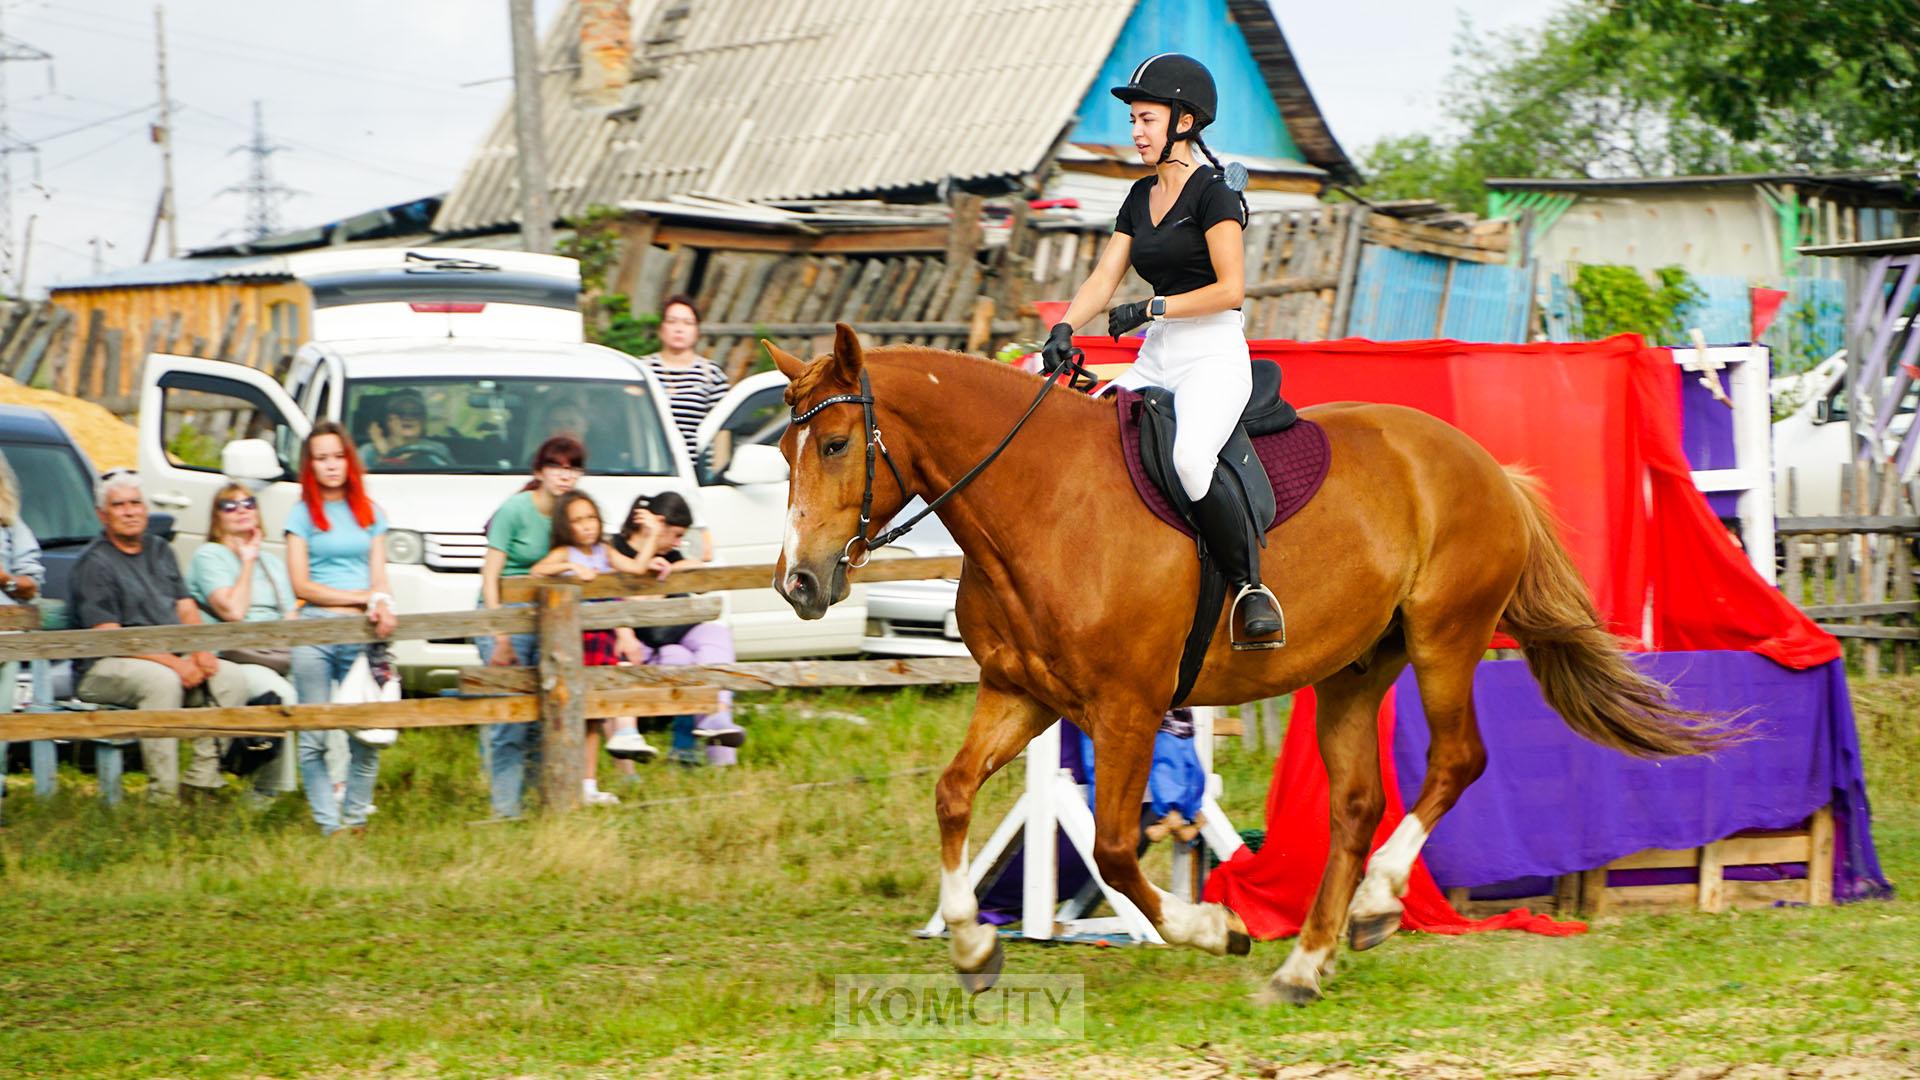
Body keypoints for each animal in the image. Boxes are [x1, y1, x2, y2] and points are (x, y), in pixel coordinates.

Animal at [764, 322, 1728, 999]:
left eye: (838, 445)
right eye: (782, 450)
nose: (800, 583)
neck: (1040, 504)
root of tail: (1485, 464)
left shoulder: (1127, 708)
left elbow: (1115, 849)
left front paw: (1212, 927)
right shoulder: (1019, 694)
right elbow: (953, 793)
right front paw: (971, 944)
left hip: (1444, 638)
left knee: (1456, 761)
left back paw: (1376, 904)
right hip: (1355, 670)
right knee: (1355, 805)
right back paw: (1306, 963)